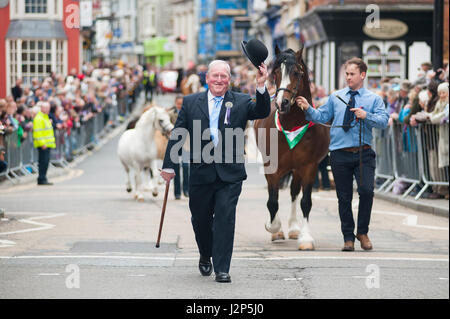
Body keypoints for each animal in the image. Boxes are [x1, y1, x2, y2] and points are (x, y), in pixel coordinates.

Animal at [255, 46, 328, 251]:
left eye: (297, 72)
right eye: (275, 73)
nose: (282, 103)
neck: (292, 125)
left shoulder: (309, 167)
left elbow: (306, 202)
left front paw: (306, 238)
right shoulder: (272, 168)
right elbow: (272, 202)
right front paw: (273, 227)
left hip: (297, 170)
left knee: (294, 192)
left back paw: (295, 228)